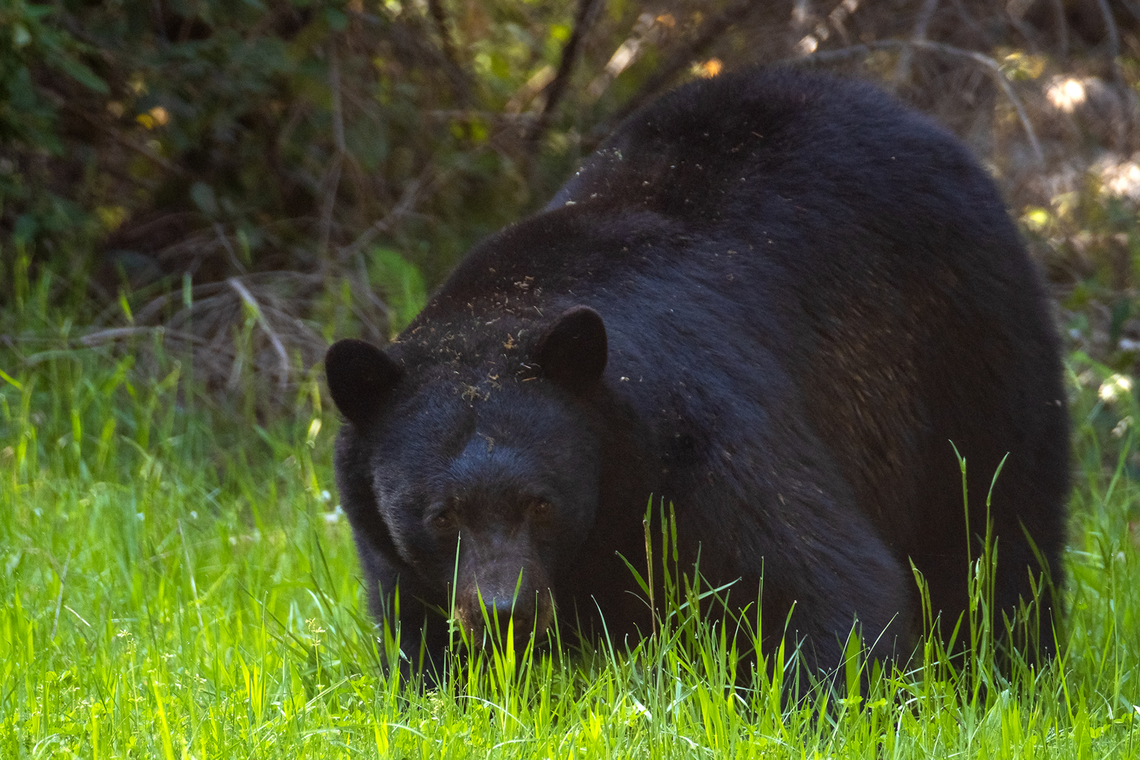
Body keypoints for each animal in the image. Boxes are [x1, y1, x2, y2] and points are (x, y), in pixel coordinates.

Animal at [324, 66, 1070, 684]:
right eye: (441, 514)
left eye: (541, 502)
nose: (505, 611)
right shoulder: (393, 552)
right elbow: (419, 636)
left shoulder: (703, 429)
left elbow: (820, 580)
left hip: (966, 350)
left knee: (993, 525)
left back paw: (1006, 663)